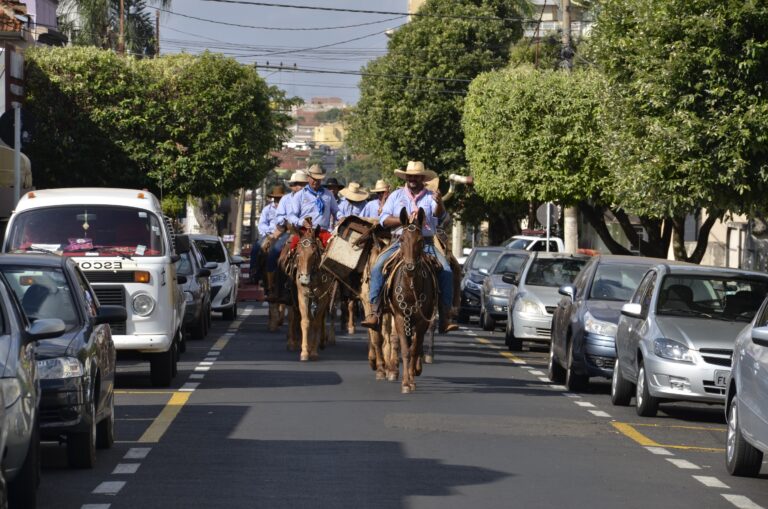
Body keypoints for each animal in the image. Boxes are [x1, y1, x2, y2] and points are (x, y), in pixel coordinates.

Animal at [384, 206, 438, 392]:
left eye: (420, 240)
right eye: (401, 239)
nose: (410, 268)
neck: (411, 287)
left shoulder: (422, 321)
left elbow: (414, 349)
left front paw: (412, 379)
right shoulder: (401, 318)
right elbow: (406, 350)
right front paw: (406, 383)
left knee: (417, 343)